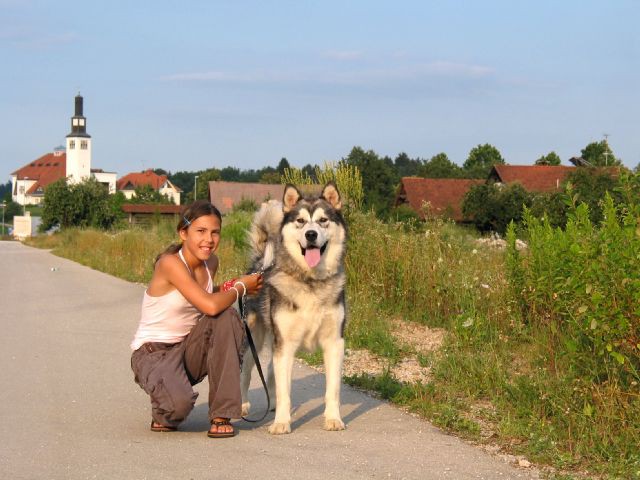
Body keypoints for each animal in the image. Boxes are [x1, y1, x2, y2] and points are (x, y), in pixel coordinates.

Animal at [240, 181, 348, 436]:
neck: (310, 281)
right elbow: (284, 391)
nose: (311, 234)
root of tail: (259, 264)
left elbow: (333, 389)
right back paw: (243, 405)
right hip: (254, 339)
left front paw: (333, 418)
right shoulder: (285, 344)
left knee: (270, 369)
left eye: (323, 220)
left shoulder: (334, 343)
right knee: (247, 371)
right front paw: (282, 422)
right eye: (300, 221)